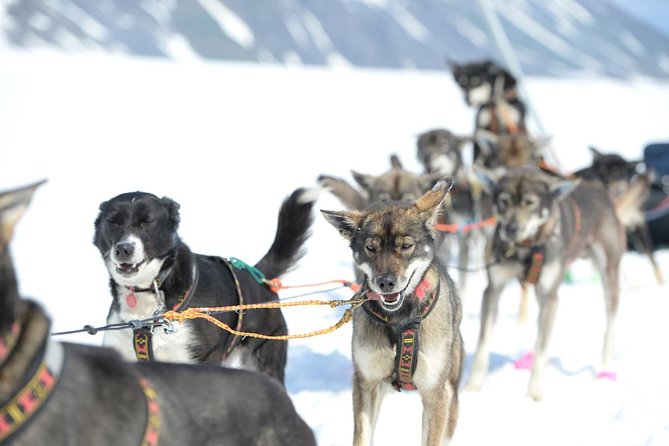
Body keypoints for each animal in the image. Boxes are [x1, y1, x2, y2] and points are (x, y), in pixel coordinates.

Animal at [320, 179, 462, 446]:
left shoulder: (435, 394)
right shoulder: (366, 384)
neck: (400, 322)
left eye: (406, 246)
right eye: (370, 247)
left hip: (450, 396)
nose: (386, 283)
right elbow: (362, 436)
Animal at [464, 166, 628, 400]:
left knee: (609, 327)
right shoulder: (493, 289)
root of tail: (600, 191)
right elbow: (483, 341)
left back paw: (606, 368)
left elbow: (543, 347)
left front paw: (533, 394)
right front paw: (473, 387)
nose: (511, 228)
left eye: (530, 202)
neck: (527, 247)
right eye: (504, 201)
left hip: (608, 277)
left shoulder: (551, 296)